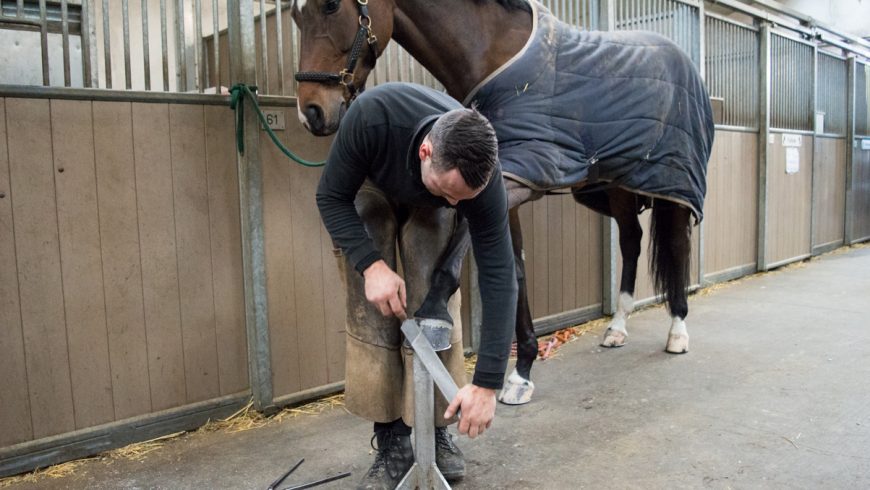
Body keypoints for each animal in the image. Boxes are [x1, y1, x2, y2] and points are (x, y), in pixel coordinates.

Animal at [290, 0, 712, 404]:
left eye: (330, 5)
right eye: (295, 16)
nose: (311, 112)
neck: (490, 52)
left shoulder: (515, 177)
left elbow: (463, 250)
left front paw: (435, 311)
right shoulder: (508, 190)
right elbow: (516, 269)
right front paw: (522, 372)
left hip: (674, 183)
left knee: (677, 244)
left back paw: (678, 331)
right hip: (619, 186)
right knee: (631, 241)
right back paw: (617, 328)